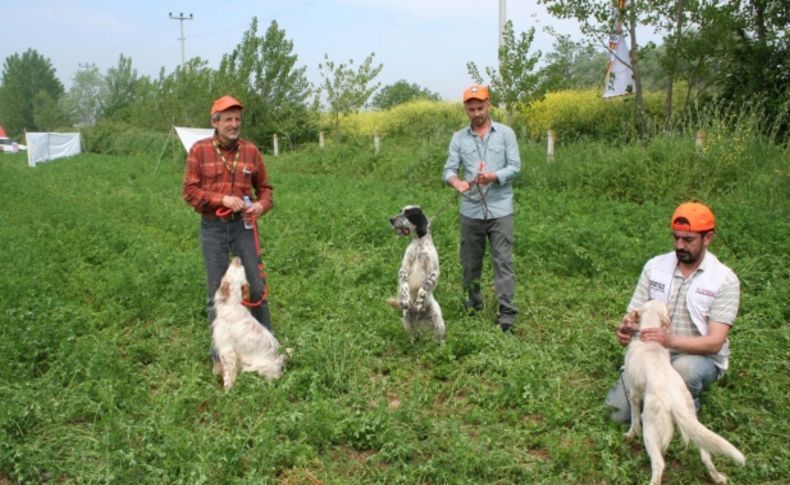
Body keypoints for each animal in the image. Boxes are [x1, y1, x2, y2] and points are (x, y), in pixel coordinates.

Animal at [212, 255, 286, 388]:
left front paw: (227, 388)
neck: (233, 303)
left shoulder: (226, 349)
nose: (237, 258)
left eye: (238, 267)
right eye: (241, 268)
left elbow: (229, 373)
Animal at [388, 204, 446, 340]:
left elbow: (423, 288)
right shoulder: (403, 269)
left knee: (439, 338)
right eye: (400, 211)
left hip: (439, 322)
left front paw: (419, 303)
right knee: (415, 336)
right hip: (407, 320)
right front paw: (405, 299)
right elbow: (404, 285)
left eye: (408, 214)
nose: (391, 219)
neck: (420, 244)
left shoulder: (434, 272)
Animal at [624, 300, 744, 482]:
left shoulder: (634, 392)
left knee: (659, 464)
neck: (650, 342)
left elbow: (634, 418)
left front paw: (630, 434)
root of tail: (675, 400)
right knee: (706, 455)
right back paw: (718, 477)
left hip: (650, 426)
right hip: (692, 419)